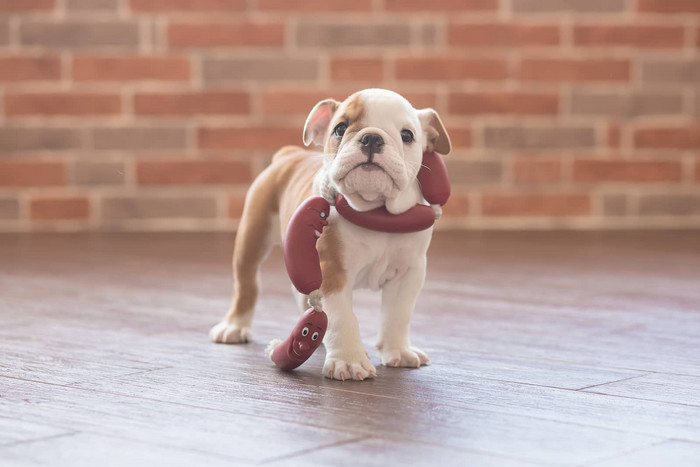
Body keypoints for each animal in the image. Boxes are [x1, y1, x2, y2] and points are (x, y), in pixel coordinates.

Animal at [208, 89, 452, 382]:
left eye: (407, 135)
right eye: (340, 128)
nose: (372, 137)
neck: (375, 211)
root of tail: (288, 155)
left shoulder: (409, 274)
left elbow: (398, 314)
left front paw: (398, 352)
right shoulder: (333, 272)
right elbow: (342, 318)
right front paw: (348, 361)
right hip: (252, 237)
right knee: (246, 284)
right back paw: (233, 327)